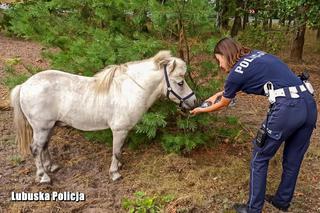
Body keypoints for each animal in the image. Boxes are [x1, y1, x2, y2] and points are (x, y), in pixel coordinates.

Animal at [10, 50, 198, 182]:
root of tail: (24, 85)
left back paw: (52, 166)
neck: (128, 90)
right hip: (41, 127)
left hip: (49, 126)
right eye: (180, 82)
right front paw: (115, 173)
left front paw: (119, 165)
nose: (194, 101)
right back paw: (43, 176)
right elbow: (116, 150)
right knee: (35, 149)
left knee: (44, 146)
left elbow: (119, 150)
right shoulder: (119, 130)